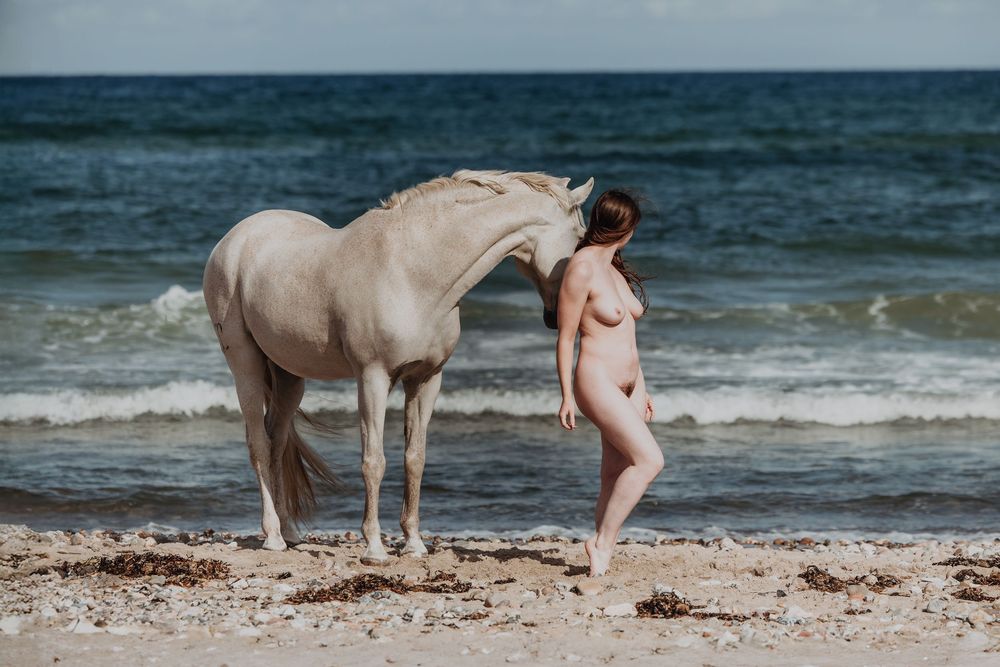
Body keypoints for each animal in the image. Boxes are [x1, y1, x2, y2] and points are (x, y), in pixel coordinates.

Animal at [203, 169, 594, 564]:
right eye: (580, 239)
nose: (555, 318)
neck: (413, 274)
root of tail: (233, 238)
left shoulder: (426, 379)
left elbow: (414, 458)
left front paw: (414, 543)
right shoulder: (372, 378)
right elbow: (374, 461)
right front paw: (374, 548)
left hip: (288, 375)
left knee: (277, 441)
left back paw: (290, 531)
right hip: (246, 366)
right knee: (259, 443)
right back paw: (272, 536)